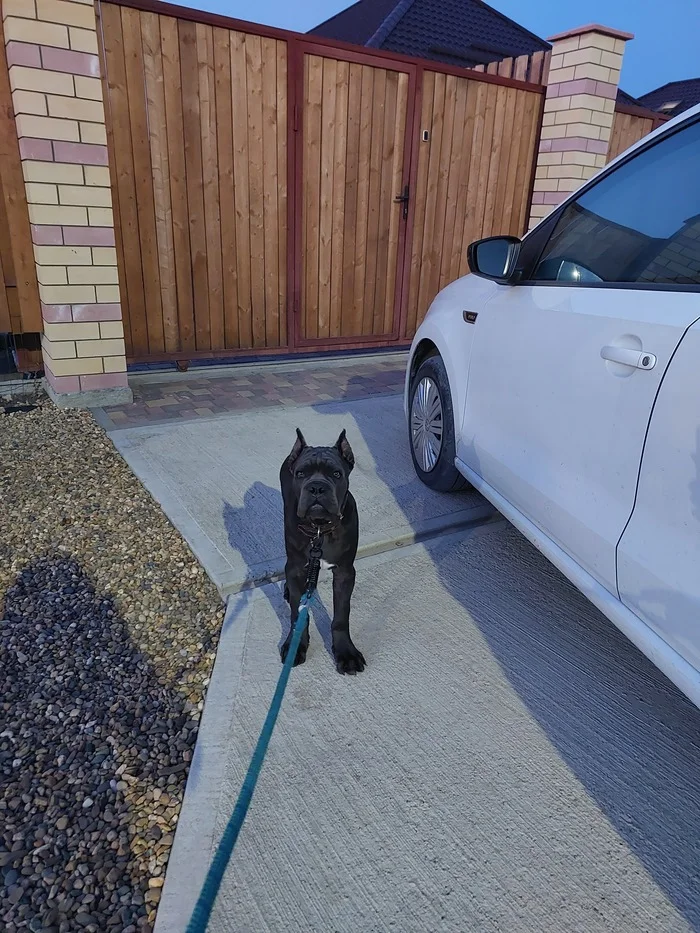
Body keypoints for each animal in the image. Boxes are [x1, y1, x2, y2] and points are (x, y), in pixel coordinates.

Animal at [278, 426, 366, 672]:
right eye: (301, 474)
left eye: (336, 474)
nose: (317, 487)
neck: (319, 528)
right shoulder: (296, 568)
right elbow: (297, 612)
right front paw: (296, 645)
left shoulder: (345, 572)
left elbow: (341, 615)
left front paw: (345, 652)